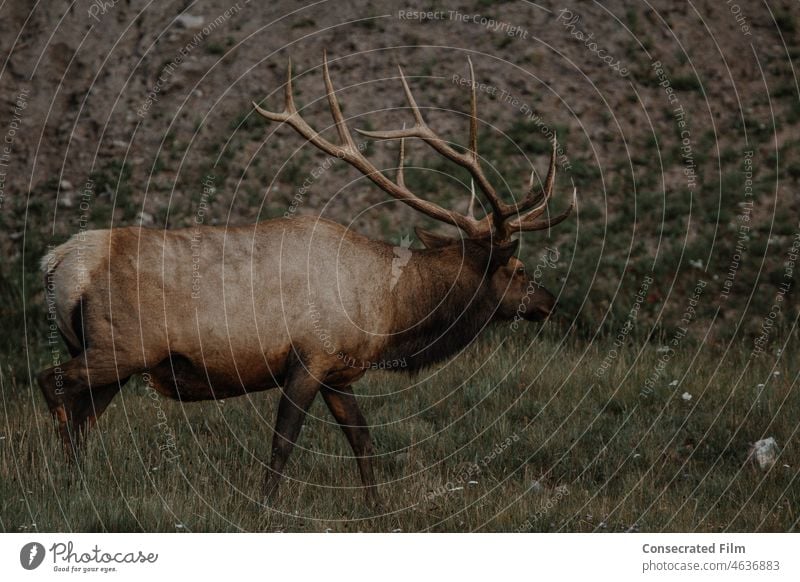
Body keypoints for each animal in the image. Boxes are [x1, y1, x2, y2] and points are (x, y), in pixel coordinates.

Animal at [37, 56, 576, 512]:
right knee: (54, 385)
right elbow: (284, 440)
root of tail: (59, 262)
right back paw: (65, 482)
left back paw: (79, 482)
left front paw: (376, 508)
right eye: (519, 270)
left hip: (115, 359)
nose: (551, 303)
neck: (390, 311)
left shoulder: (339, 371)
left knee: (84, 413)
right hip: (121, 346)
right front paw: (264, 507)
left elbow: (362, 440)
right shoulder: (307, 358)